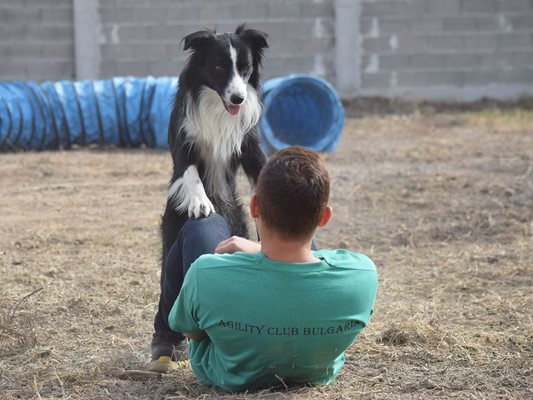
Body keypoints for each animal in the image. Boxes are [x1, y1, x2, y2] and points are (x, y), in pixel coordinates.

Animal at [158, 24, 266, 262]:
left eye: (246, 68)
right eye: (218, 67)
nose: (238, 99)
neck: (216, 104)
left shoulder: (250, 146)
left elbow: (264, 169)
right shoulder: (183, 144)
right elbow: (191, 173)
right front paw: (201, 202)